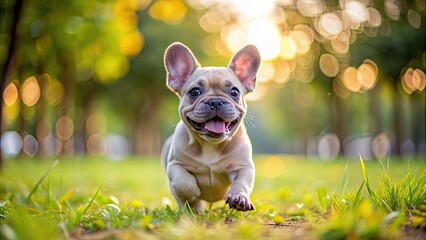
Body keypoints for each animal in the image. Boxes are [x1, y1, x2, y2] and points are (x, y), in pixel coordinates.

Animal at [161, 42, 260, 213]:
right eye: (195, 92)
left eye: (234, 92)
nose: (215, 101)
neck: (210, 144)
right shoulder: (175, 165)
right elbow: (183, 181)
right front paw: (193, 193)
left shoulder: (243, 167)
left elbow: (242, 183)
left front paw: (239, 198)